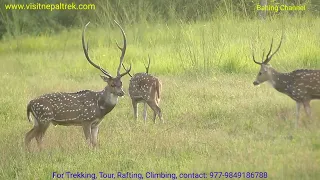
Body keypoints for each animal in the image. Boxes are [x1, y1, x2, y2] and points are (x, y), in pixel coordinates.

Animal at [23, 20, 131, 151]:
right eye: (112, 84)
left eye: (121, 83)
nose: (122, 92)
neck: (100, 107)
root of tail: (29, 104)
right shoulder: (85, 120)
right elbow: (88, 142)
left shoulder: (96, 124)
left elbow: (95, 143)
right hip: (44, 118)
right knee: (37, 137)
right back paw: (41, 152)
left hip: (37, 121)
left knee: (28, 136)